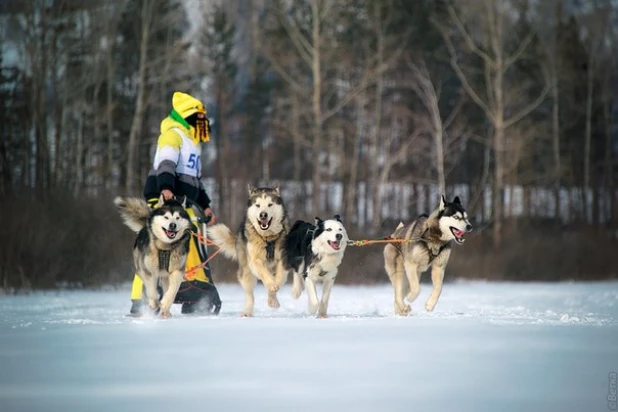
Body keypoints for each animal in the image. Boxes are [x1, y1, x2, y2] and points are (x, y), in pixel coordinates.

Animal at [205, 185, 286, 318]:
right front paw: (272, 285)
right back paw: (247, 311)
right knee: (250, 295)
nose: (263, 215)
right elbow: (264, 274)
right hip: (246, 272)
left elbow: (280, 277)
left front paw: (274, 292)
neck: (268, 239)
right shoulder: (254, 260)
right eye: (258, 205)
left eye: (270, 204)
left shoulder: (283, 258)